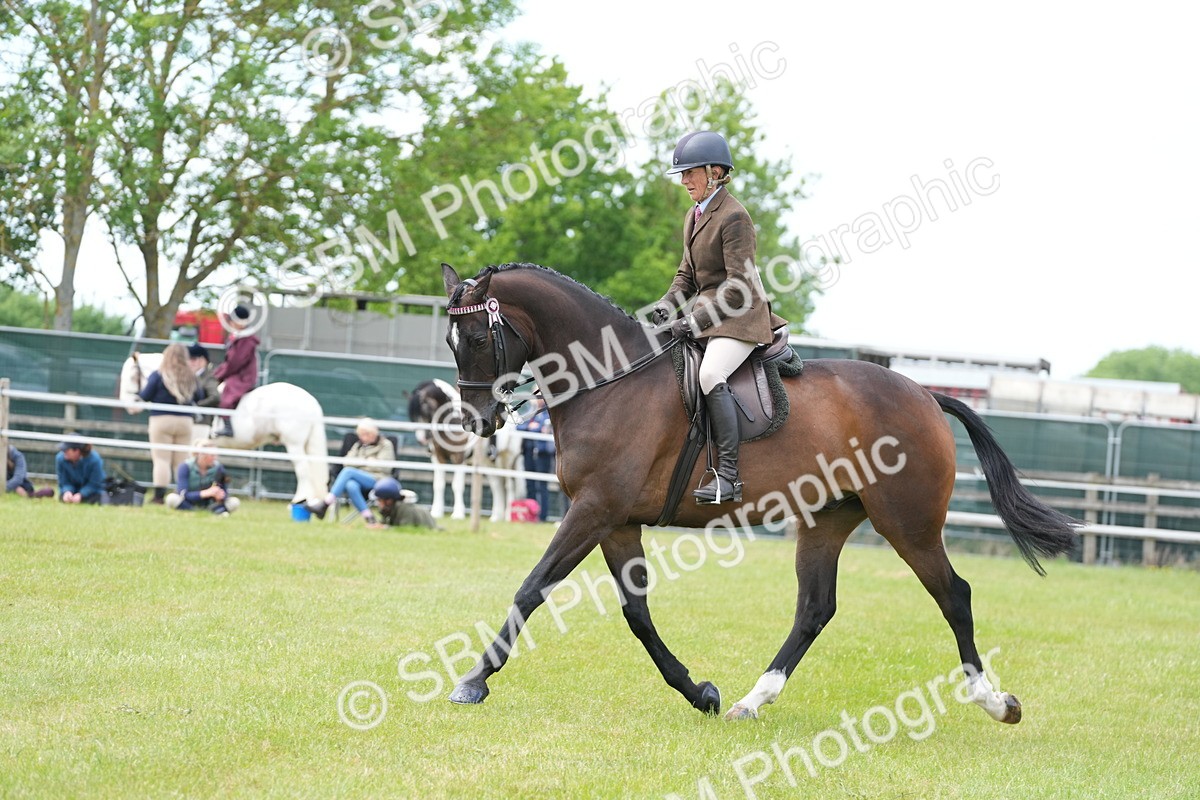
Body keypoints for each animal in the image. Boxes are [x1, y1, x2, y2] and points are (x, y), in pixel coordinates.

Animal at [119, 351, 330, 505]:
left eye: (132, 375)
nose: (129, 406)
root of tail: (310, 401)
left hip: (294, 444)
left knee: (303, 470)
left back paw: (299, 500)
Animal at [407, 378, 523, 520]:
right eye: (413, 416)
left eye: (424, 410)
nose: (422, 439)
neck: (452, 420)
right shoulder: (438, 457)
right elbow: (438, 484)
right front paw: (436, 512)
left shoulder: (459, 457)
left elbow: (457, 485)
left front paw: (458, 514)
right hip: (489, 463)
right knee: (497, 486)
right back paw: (496, 517)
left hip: (507, 460)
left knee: (509, 485)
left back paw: (508, 516)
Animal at [437, 262, 1080, 723]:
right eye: (450, 341)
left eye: (476, 338)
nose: (476, 421)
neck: (609, 382)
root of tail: (924, 394)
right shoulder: (615, 521)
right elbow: (637, 613)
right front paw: (700, 692)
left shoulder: (592, 511)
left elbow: (531, 589)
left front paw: (472, 682)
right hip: (827, 519)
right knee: (815, 608)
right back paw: (752, 699)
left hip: (908, 523)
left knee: (954, 596)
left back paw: (995, 702)